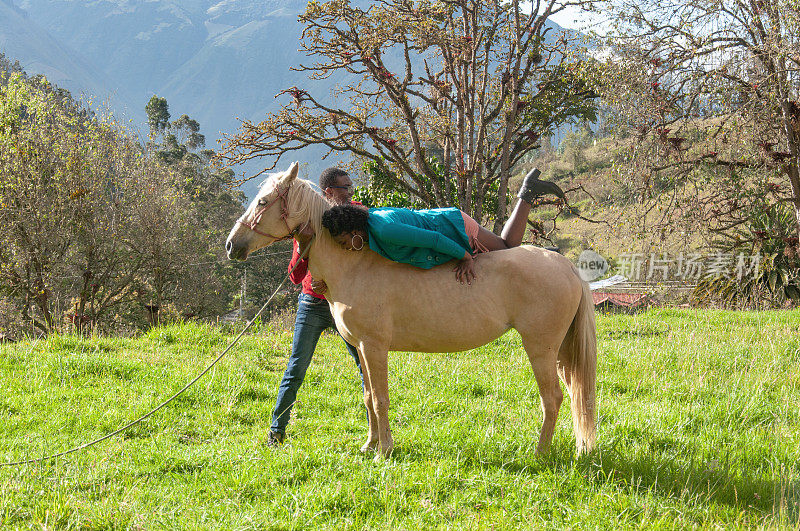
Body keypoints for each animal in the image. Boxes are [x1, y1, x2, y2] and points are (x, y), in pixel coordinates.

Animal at [225, 164, 592, 460]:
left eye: (262, 202)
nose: (231, 245)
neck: (355, 265)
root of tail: (567, 267)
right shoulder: (362, 348)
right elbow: (368, 397)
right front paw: (369, 445)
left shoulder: (374, 347)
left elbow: (381, 399)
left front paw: (383, 451)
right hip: (558, 351)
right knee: (573, 396)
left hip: (540, 347)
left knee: (552, 398)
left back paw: (539, 454)